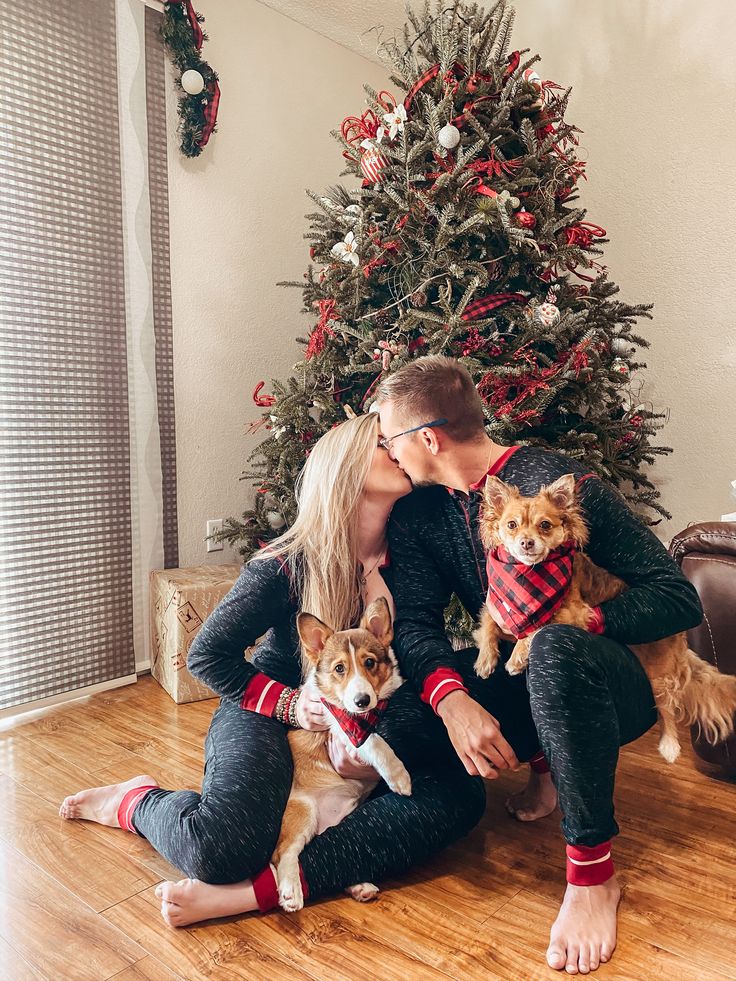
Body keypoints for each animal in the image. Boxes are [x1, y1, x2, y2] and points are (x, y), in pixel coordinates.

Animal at [270, 592, 412, 916]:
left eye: (369, 662)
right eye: (339, 669)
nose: (361, 701)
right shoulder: (344, 731)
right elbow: (374, 741)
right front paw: (399, 777)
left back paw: (359, 886)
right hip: (303, 811)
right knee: (284, 854)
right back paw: (291, 892)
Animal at [472, 470, 736, 760]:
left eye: (545, 525)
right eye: (511, 525)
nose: (526, 542)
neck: (526, 575)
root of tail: (682, 641)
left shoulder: (574, 611)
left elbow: (537, 626)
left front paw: (517, 657)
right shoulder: (494, 605)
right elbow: (488, 625)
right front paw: (485, 660)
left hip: (658, 674)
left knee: (667, 707)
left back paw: (669, 745)